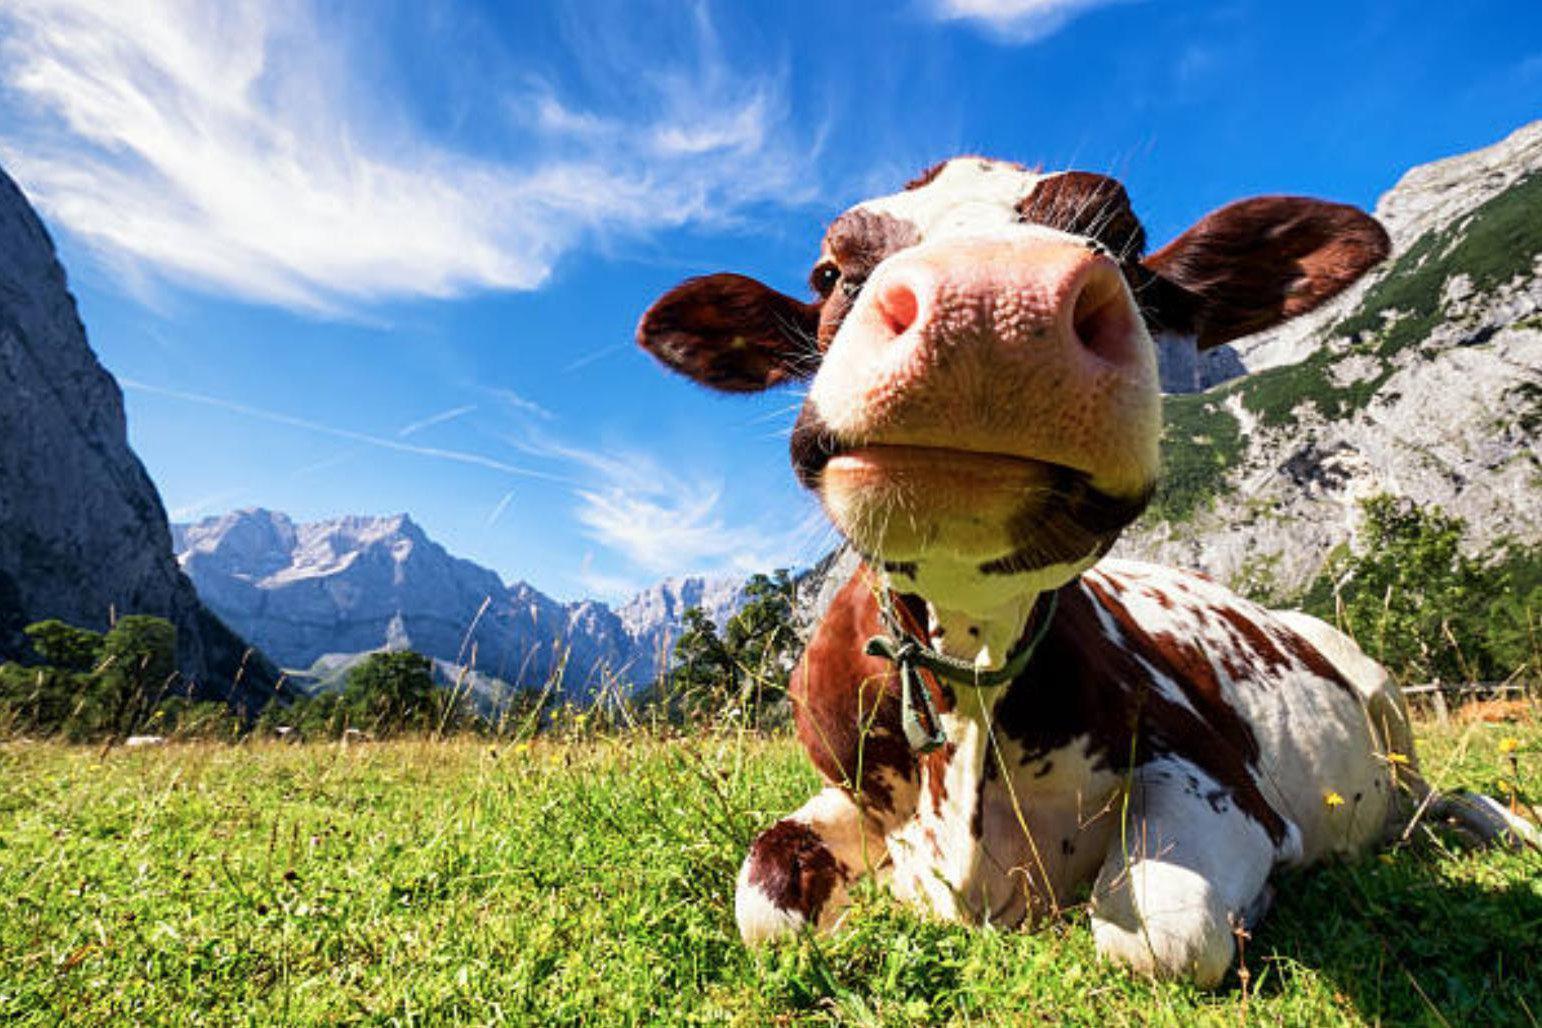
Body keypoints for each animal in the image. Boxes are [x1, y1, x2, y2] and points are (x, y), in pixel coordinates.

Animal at [634, 158, 1536, 986]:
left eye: (1128, 243)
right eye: (828, 273)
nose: (990, 304)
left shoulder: (1221, 779)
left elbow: (1161, 933)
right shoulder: (846, 791)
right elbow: (763, 899)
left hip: (1386, 703)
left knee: (1435, 798)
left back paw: (1499, 826)